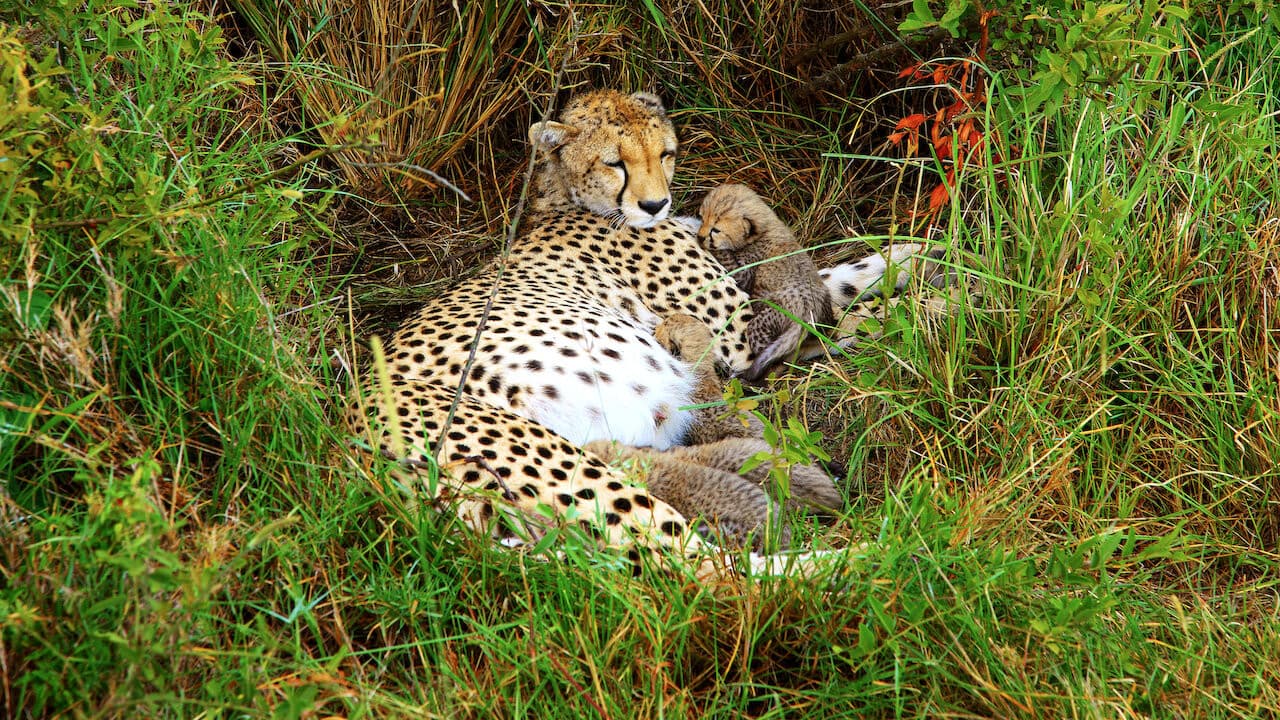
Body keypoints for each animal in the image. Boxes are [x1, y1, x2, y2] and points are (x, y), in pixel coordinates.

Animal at [346, 89, 952, 573]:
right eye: (615, 162)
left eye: (664, 153)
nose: (657, 202)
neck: (571, 201)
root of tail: (352, 448)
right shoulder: (738, 339)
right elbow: (839, 312)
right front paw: (938, 303)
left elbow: (838, 278)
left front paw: (924, 256)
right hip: (568, 467)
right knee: (702, 572)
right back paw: (883, 561)